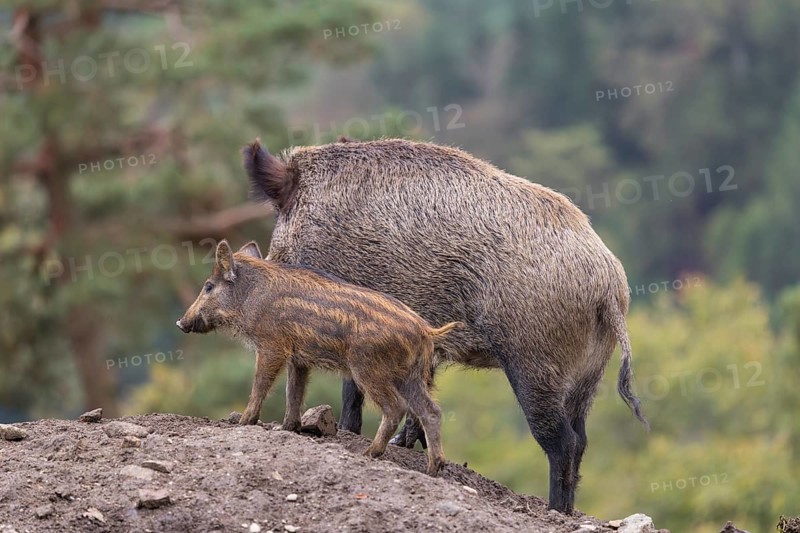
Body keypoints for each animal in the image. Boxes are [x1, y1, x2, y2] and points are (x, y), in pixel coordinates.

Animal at [175, 239, 458, 477]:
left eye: (208, 286)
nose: (180, 323)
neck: (251, 296)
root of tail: (426, 331)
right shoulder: (298, 359)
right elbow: (294, 392)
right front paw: (286, 428)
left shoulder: (272, 346)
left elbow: (261, 384)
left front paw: (245, 422)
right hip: (410, 376)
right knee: (431, 411)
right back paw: (433, 469)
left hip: (369, 369)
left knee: (395, 407)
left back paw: (369, 453)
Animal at [242, 137, 648, 514]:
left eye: (280, 226)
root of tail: (610, 286)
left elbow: (352, 389)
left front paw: (349, 432)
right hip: (587, 376)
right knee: (581, 438)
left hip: (535, 361)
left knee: (563, 440)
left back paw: (554, 510)